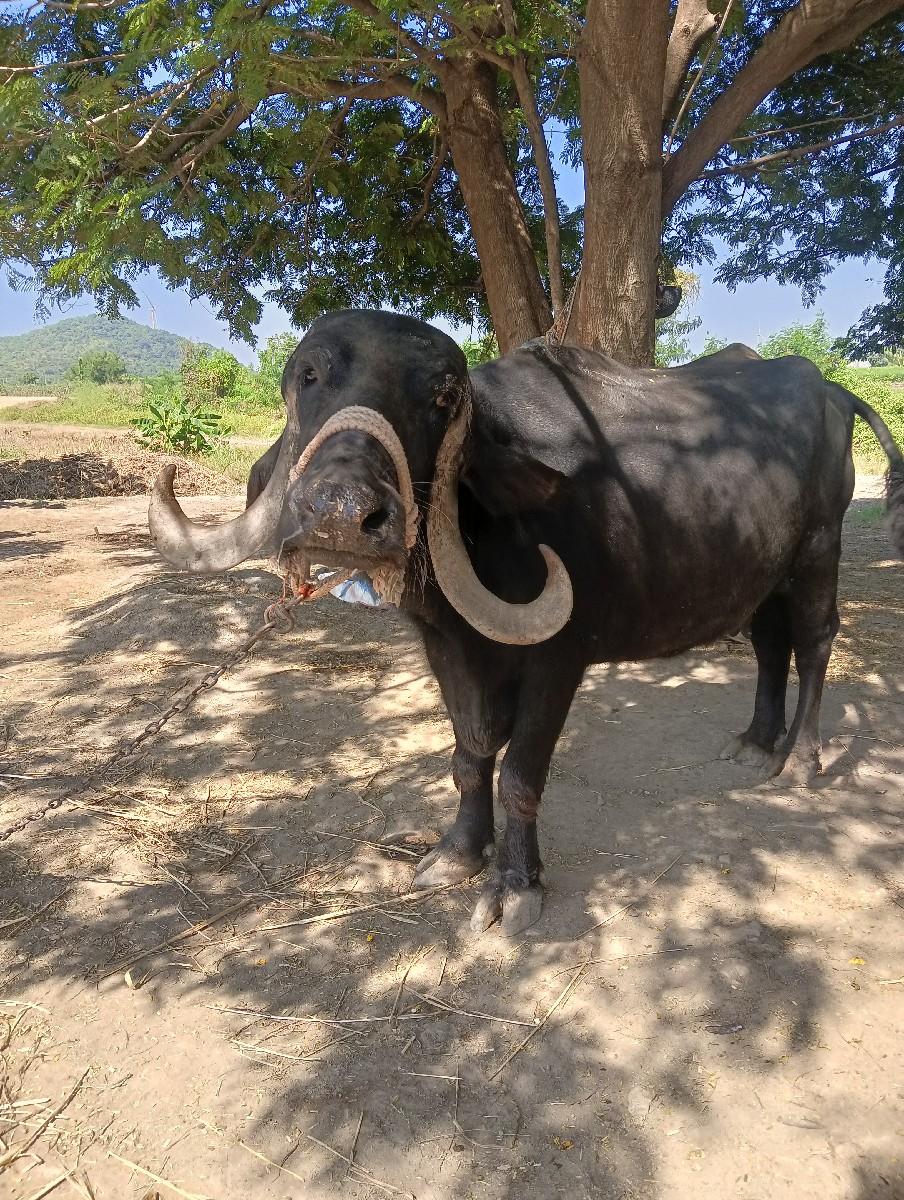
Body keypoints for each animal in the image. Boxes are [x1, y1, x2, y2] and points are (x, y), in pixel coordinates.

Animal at [149, 310, 904, 935]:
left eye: (441, 397)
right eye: (309, 376)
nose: (342, 512)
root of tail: (831, 390)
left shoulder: (557, 660)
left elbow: (518, 772)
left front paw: (515, 885)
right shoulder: (447, 648)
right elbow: (470, 753)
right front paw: (457, 853)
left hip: (819, 550)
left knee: (815, 640)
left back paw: (800, 760)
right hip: (761, 572)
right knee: (769, 643)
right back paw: (755, 741)